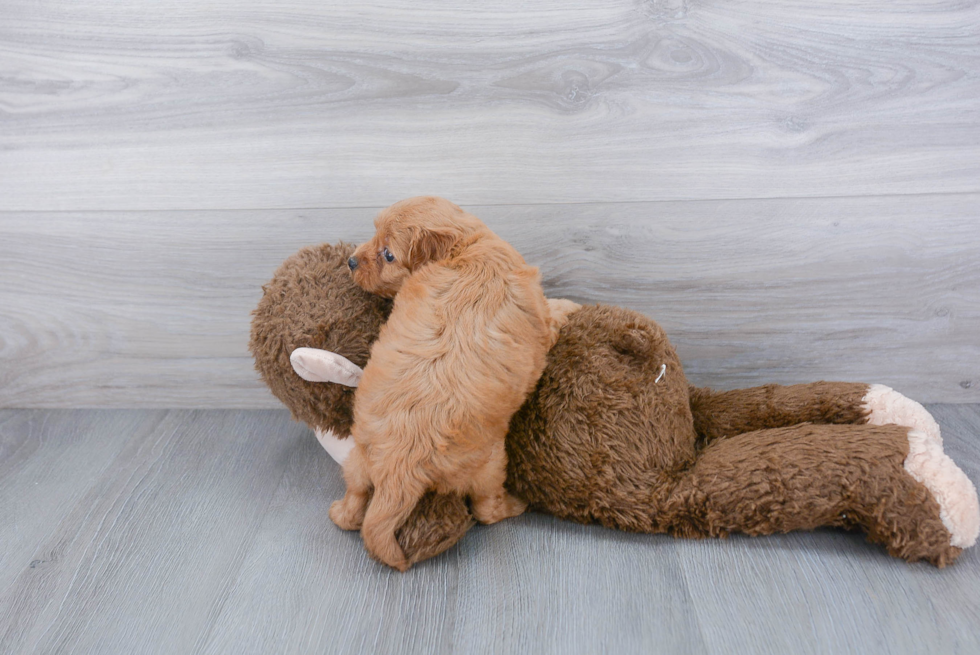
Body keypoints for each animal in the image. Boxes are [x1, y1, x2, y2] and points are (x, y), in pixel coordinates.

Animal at [330, 197, 556, 572]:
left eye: (388, 254)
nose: (350, 261)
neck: (465, 249)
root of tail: (399, 468)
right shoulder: (540, 315)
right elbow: (556, 313)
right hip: (488, 465)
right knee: (486, 510)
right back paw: (514, 505)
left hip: (359, 457)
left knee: (356, 498)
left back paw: (340, 512)